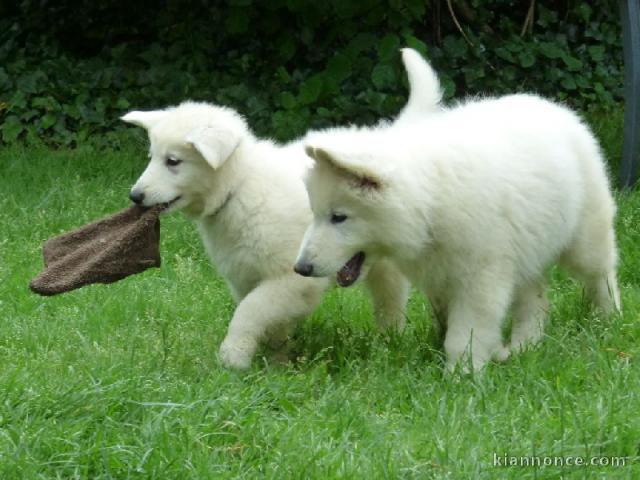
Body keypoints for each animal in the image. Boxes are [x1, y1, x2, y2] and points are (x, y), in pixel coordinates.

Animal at [120, 48, 440, 370]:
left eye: (172, 161)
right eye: (152, 157)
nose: (135, 196)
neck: (239, 188)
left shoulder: (290, 278)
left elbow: (250, 311)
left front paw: (233, 356)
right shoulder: (245, 277)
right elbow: (269, 321)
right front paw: (278, 362)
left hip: (383, 258)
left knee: (391, 299)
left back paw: (389, 342)